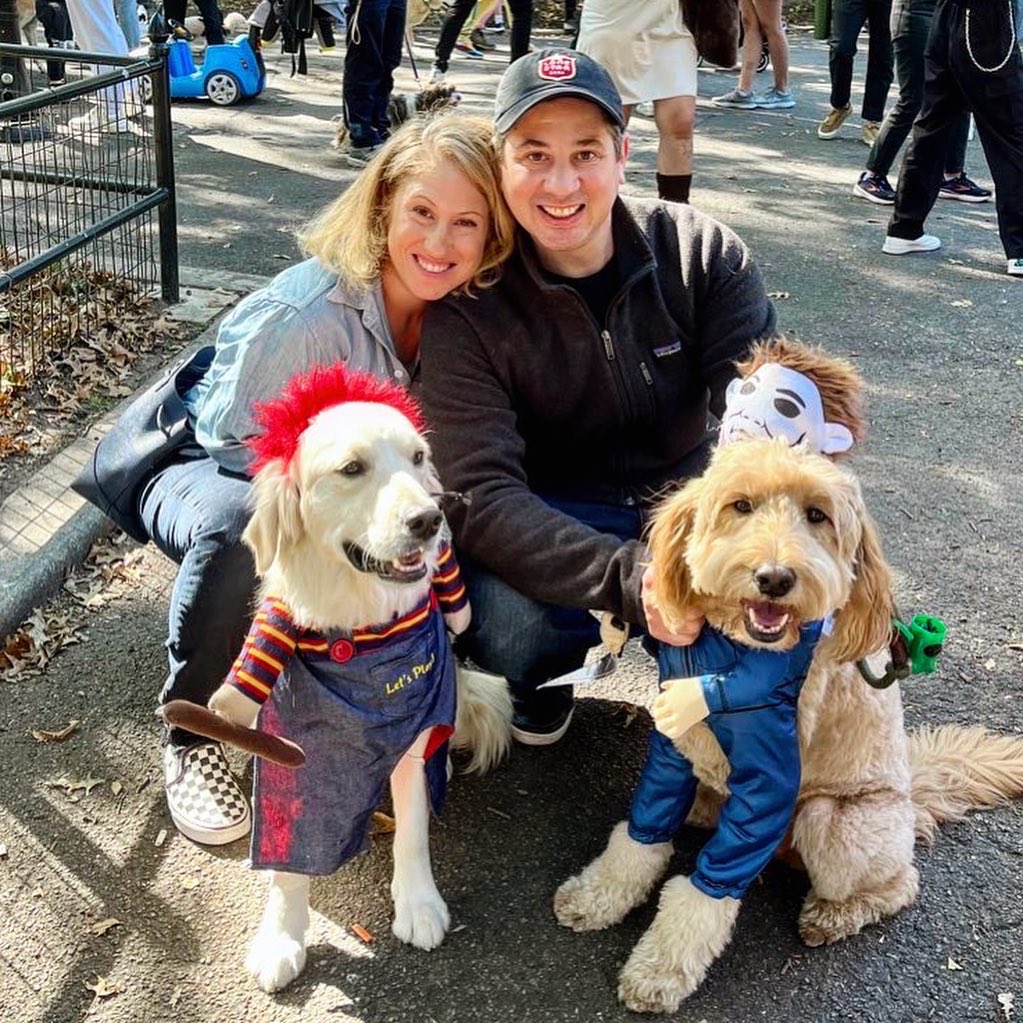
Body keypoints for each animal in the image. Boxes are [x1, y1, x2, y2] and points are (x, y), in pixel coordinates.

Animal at [206, 364, 511, 994]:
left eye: (419, 457)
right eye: (352, 469)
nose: (429, 520)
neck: (358, 631)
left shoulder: (410, 737)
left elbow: (413, 828)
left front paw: (418, 904)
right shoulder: (291, 756)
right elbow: (287, 864)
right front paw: (281, 936)